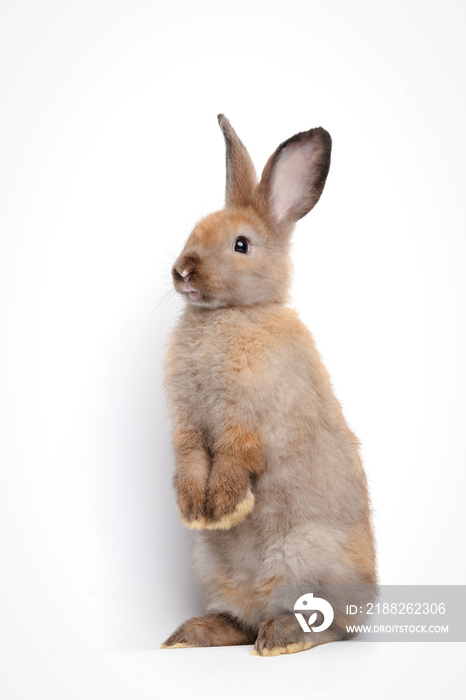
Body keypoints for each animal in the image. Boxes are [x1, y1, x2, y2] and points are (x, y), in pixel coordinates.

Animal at [162, 115, 376, 656]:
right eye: (194, 231)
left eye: (241, 244)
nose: (183, 270)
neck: (233, 313)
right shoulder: (186, 423)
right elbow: (191, 458)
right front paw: (194, 510)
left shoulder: (248, 420)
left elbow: (234, 457)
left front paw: (221, 508)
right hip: (216, 570)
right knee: (242, 620)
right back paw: (193, 634)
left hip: (301, 560)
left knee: (329, 625)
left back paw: (280, 638)